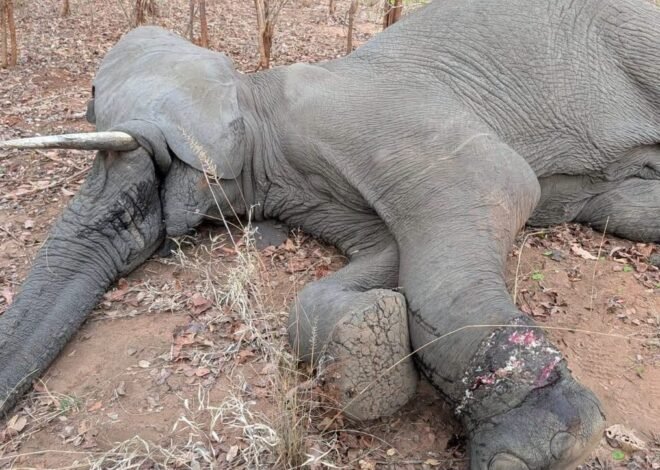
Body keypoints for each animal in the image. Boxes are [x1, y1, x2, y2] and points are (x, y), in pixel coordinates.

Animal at [1, 0, 659, 467]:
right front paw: (369, 346)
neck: (252, 97)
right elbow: (389, 252)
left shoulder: (359, 115)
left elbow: (498, 182)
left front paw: (544, 442)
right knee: (616, 201)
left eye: (135, 209)